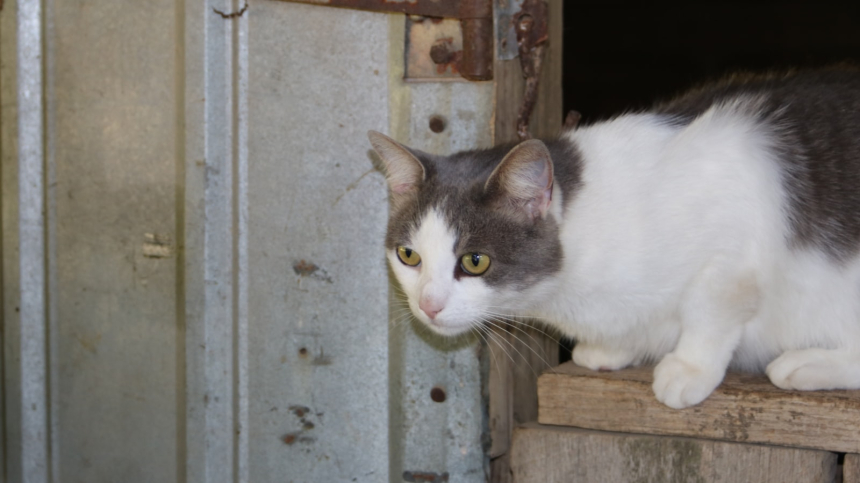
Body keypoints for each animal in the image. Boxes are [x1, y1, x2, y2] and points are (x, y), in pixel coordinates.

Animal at [368, 67, 860, 408]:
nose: (429, 305)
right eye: (408, 255)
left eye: (475, 261)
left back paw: (807, 363)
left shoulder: (733, 243)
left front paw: (690, 368)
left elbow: (712, 309)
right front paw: (615, 346)